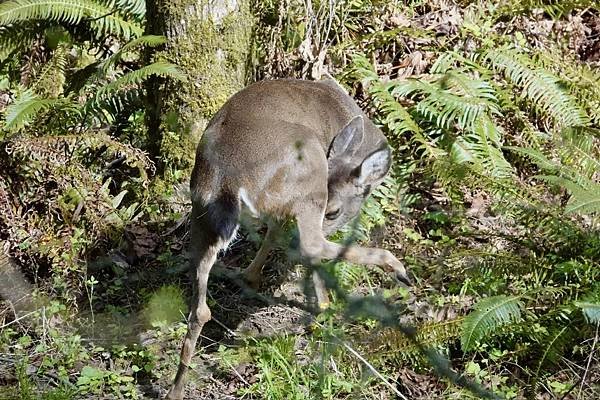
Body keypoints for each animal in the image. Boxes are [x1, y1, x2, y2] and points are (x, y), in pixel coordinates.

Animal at [166, 78, 410, 400]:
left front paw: (251, 277)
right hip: (308, 172)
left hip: (202, 212)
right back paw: (392, 270)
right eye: (333, 211)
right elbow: (302, 246)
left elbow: (274, 232)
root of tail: (228, 179)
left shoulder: (280, 208)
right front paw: (323, 308)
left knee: (200, 306)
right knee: (312, 244)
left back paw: (176, 388)